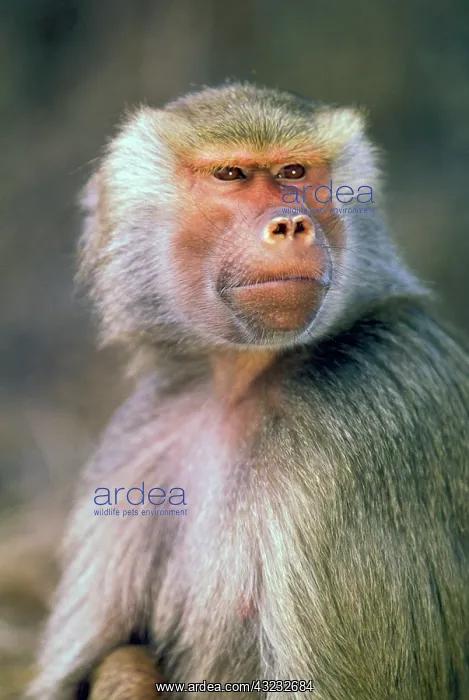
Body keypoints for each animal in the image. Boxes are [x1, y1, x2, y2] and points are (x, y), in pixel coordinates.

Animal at [28, 82, 469, 700]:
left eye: (294, 171)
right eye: (231, 174)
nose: (291, 224)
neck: (245, 378)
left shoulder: (357, 419)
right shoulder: (141, 433)